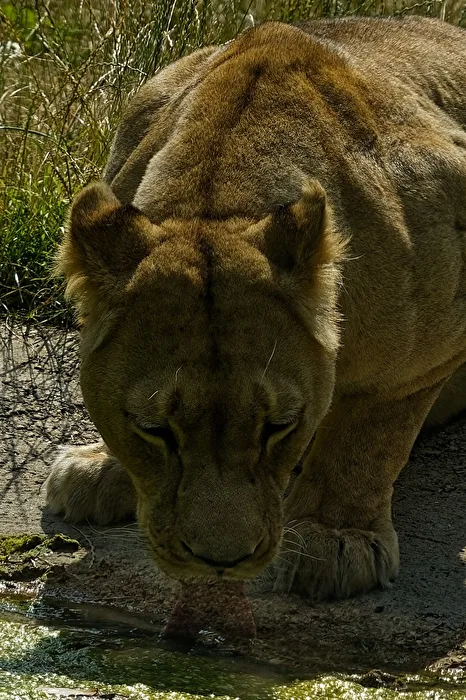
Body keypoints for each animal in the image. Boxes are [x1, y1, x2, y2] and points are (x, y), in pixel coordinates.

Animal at [46, 16, 466, 601]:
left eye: (279, 426)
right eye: (154, 428)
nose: (220, 564)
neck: (221, 198)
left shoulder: (421, 354)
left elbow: (370, 435)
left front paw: (335, 538)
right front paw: (104, 465)